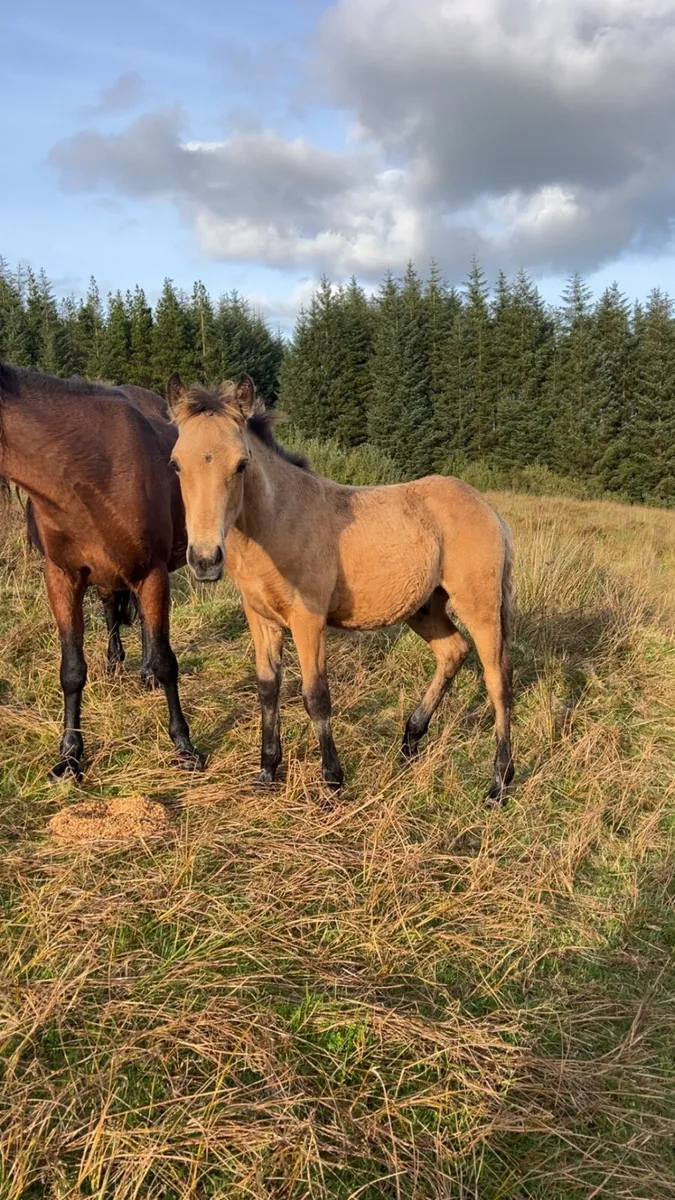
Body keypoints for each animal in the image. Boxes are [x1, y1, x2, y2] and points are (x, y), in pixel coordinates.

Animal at [0, 362, 202, 780]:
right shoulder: (62, 578)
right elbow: (72, 668)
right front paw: (70, 754)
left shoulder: (151, 572)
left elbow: (166, 660)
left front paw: (184, 745)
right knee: (113, 610)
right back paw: (115, 662)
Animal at [166, 373, 514, 802]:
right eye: (176, 464)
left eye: (241, 464)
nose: (204, 559)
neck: (278, 521)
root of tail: (488, 509)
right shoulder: (260, 618)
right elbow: (267, 688)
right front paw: (267, 771)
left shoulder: (308, 618)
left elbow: (316, 695)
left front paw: (332, 781)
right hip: (424, 607)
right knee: (453, 651)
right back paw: (410, 742)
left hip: (480, 604)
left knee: (498, 679)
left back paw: (499, 781)